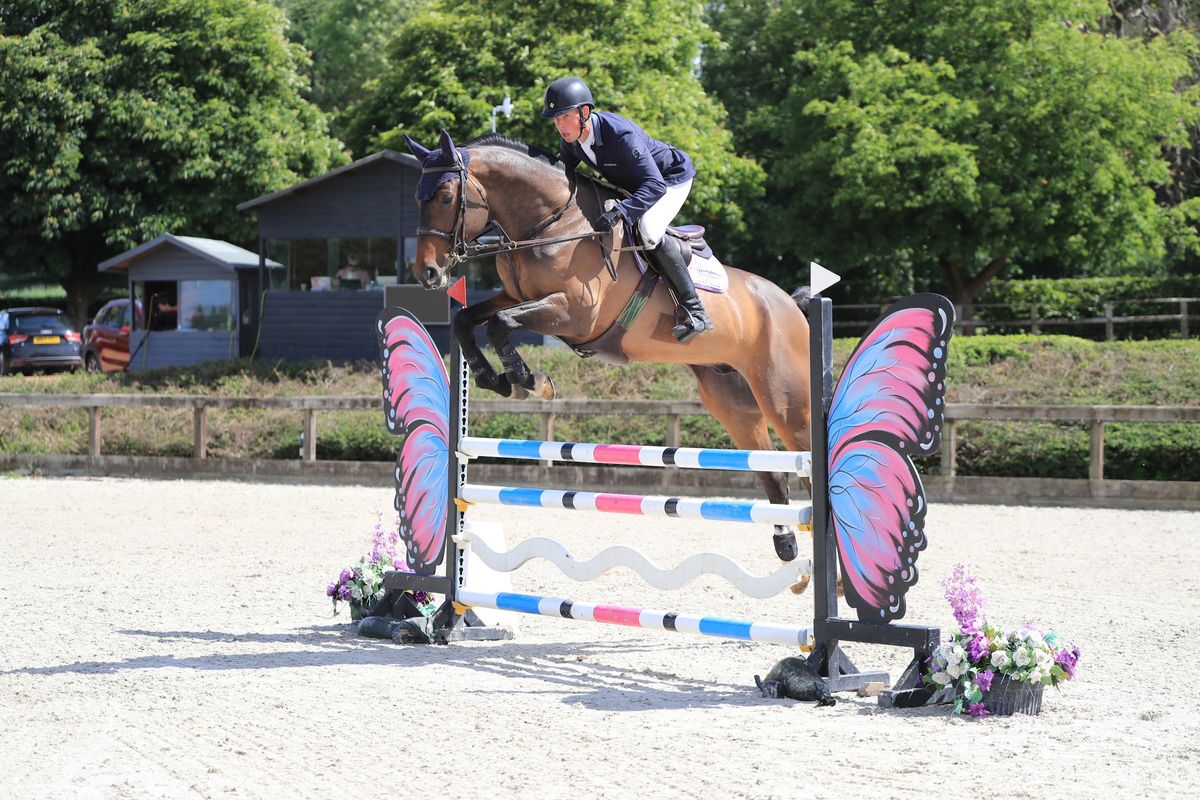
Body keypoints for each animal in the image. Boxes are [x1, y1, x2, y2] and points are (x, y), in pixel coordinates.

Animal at [404, 129, 813, 563]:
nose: (428, 273)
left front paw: (531, 380)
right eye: (417, 197)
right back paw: (788, 549)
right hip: (734, 403)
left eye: (446, 196)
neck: (552, 223)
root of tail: (791, 304)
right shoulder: (514, 296)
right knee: (773, 473)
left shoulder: (575, 313)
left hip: (786, 401)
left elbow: (500, 325)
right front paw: (491, 378)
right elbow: (468, 320)